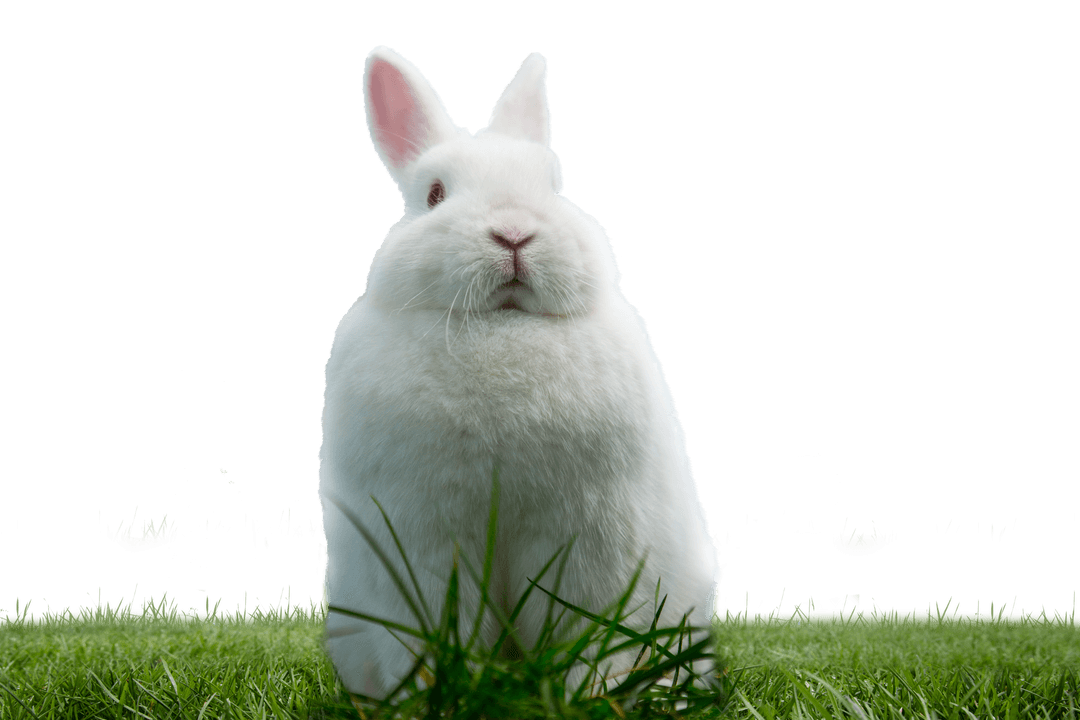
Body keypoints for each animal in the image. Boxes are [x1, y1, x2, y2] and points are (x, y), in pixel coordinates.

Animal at [317, 45, 722, 709]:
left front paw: (592, 697)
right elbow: (434, 635)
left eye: (553, 186)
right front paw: (436, 700)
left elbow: (590, 630)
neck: (502, 326)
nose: (513, 233)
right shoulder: (424, 542)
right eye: (434, 194)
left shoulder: (593, 539)